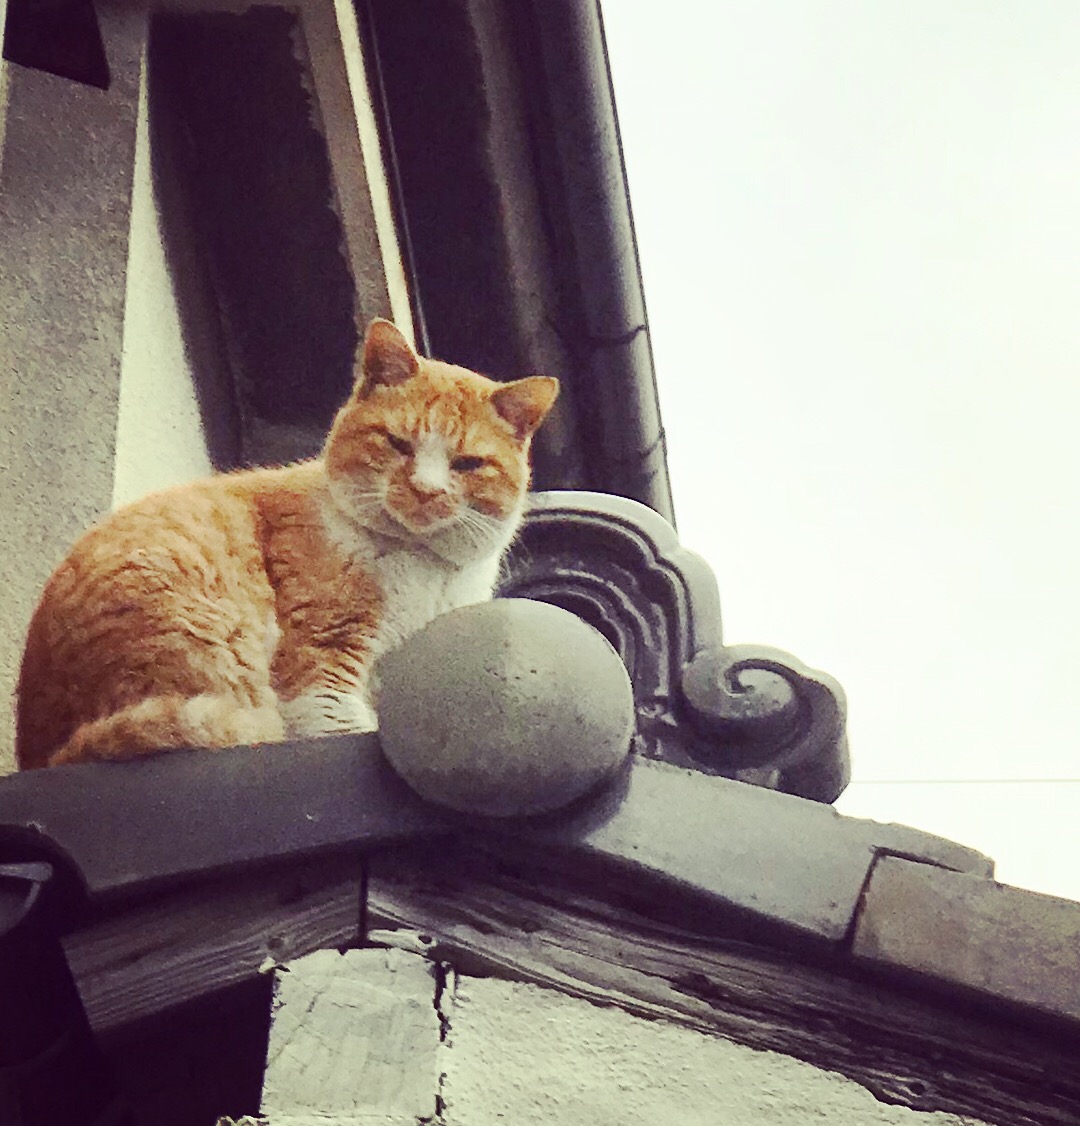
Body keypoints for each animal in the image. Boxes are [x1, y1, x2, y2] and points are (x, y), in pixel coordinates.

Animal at [16, 319, 558, 769]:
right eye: (397, 443)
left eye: (467, 464)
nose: (426, 490)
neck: (424, 568)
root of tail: (46, 754)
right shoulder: (323, 658)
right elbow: (338, 723)